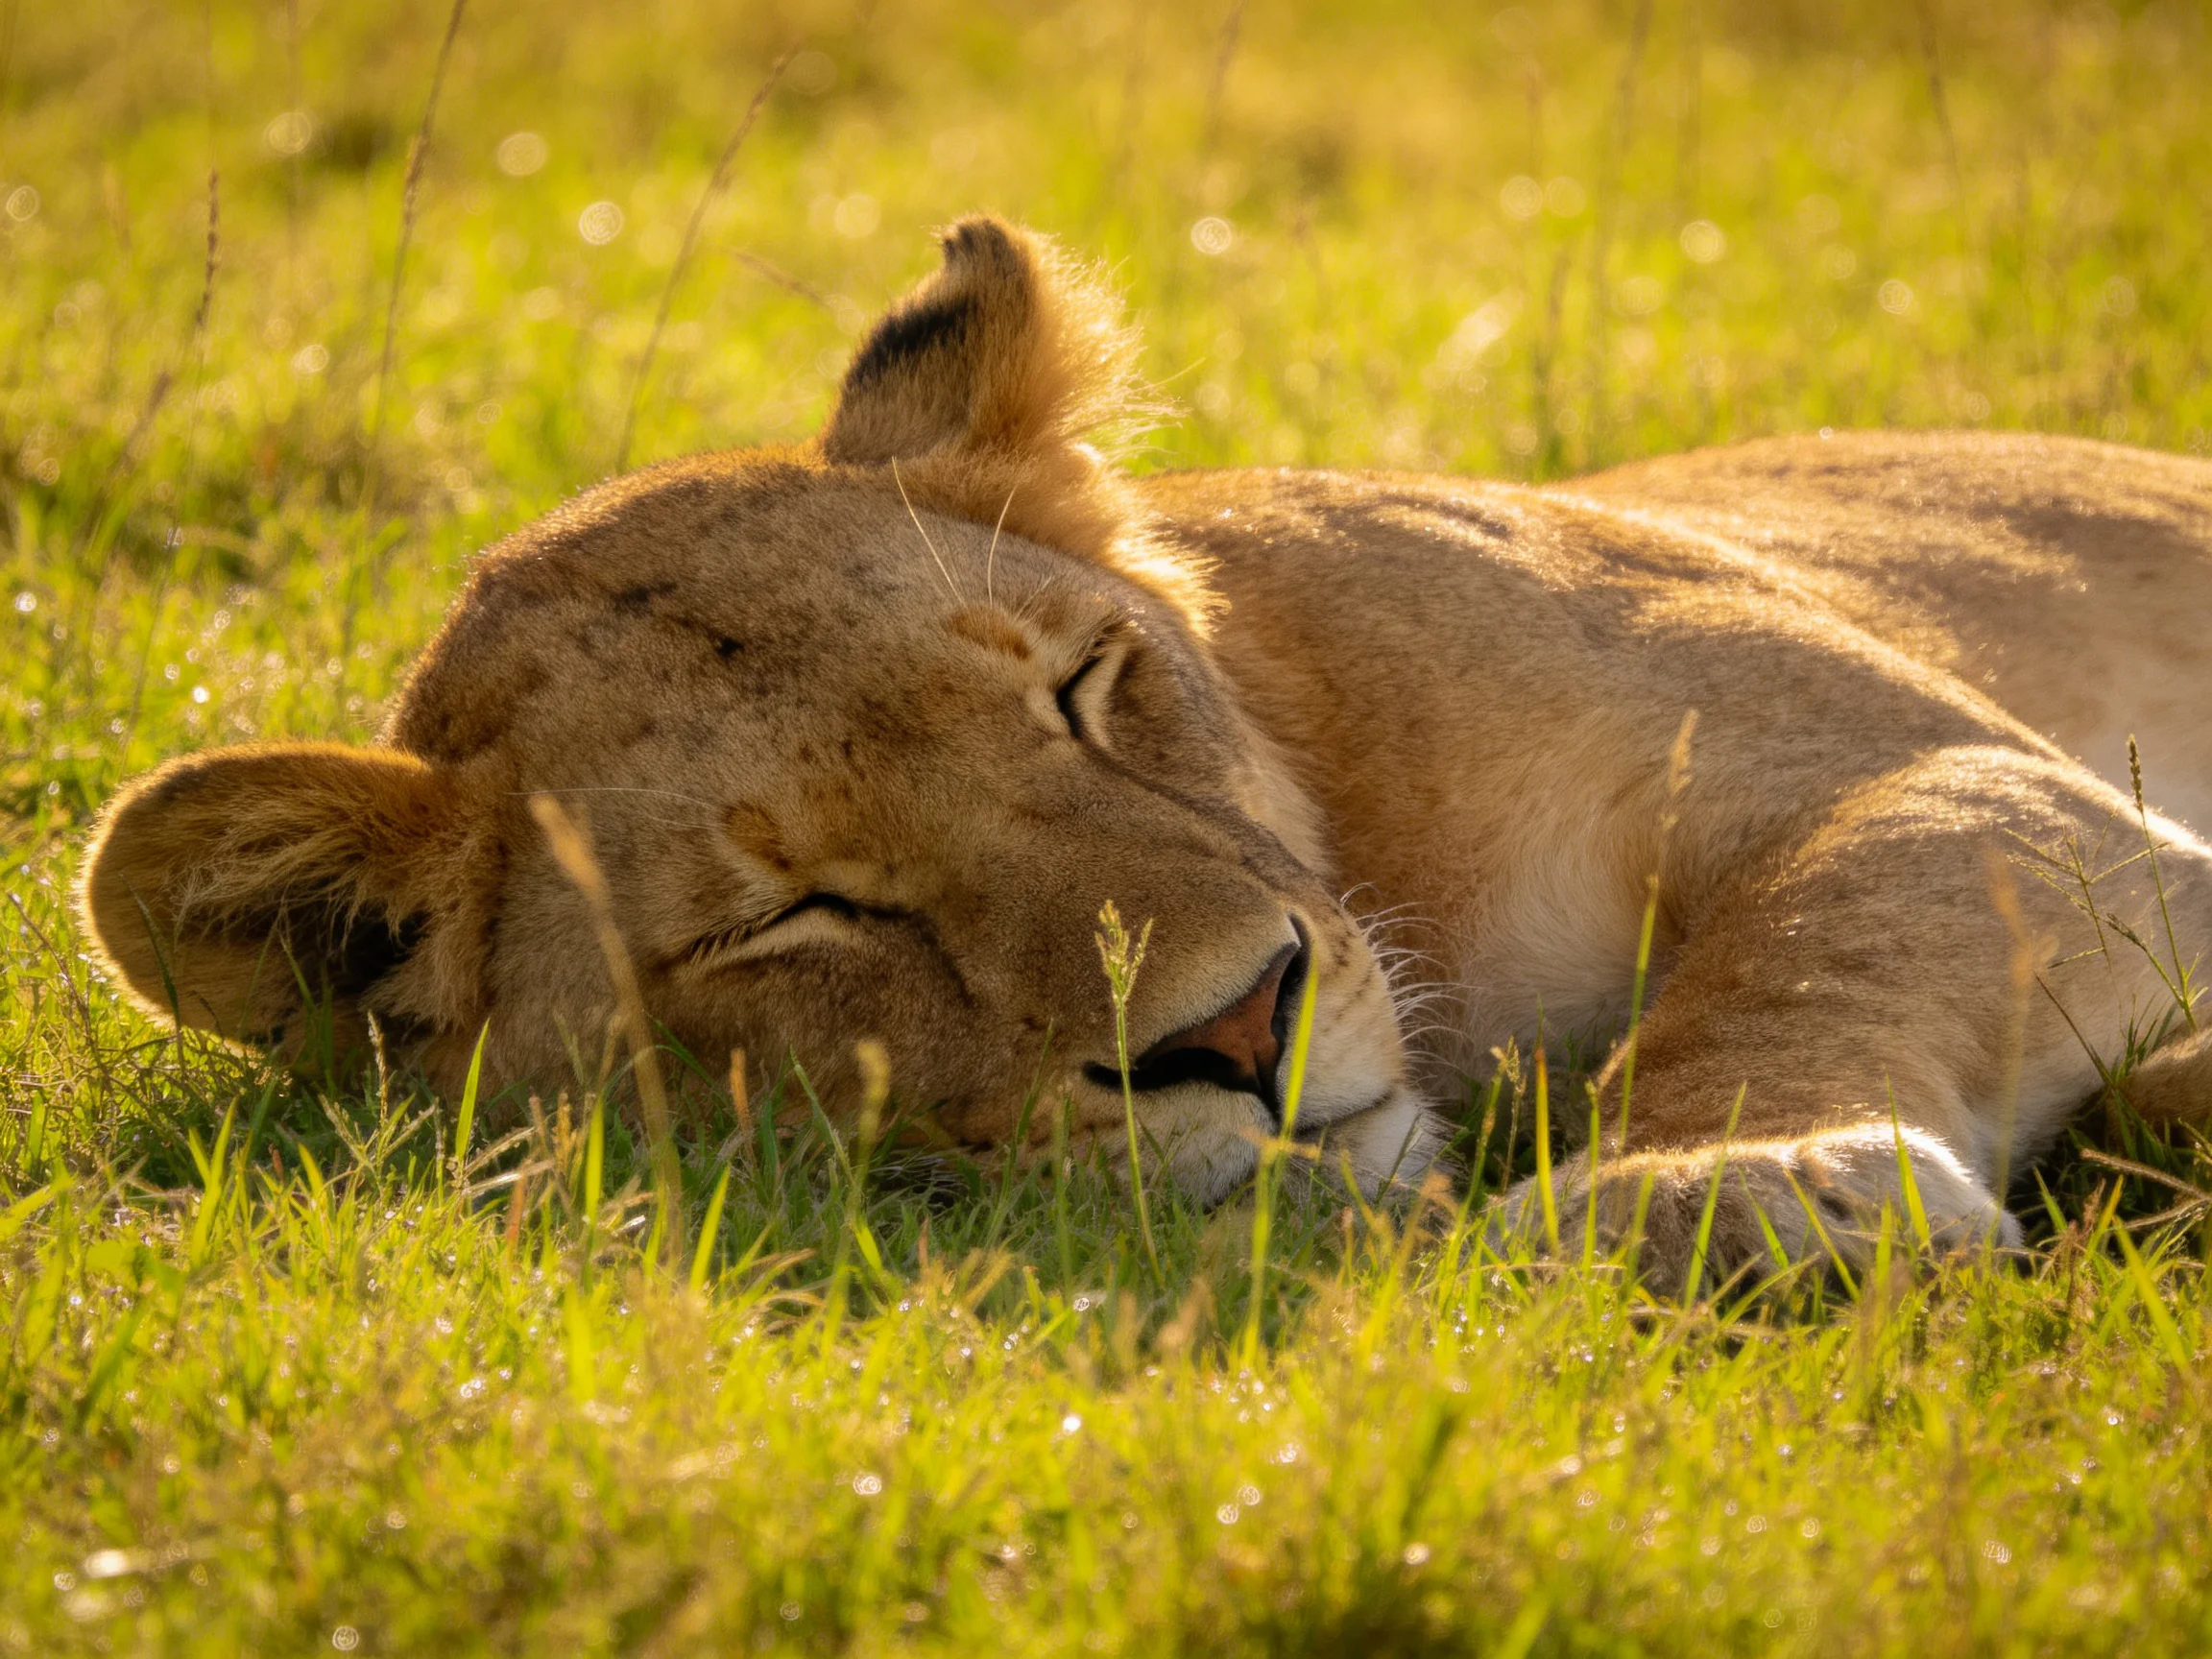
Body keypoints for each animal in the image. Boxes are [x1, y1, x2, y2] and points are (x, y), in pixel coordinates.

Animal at [79, 215, 2212, 1286]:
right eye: (803, 916)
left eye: (1086, 691)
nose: (1241, 1028)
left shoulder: (1961, 776)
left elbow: (1807, 946)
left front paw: (1723, 1194)